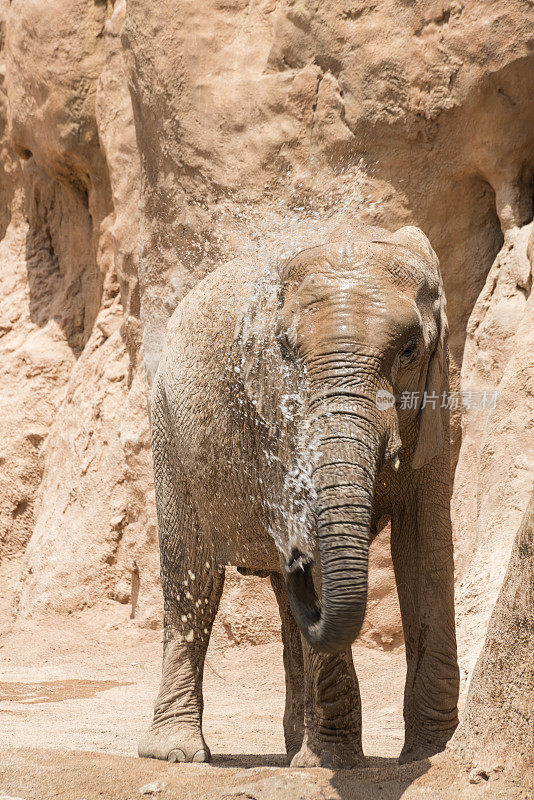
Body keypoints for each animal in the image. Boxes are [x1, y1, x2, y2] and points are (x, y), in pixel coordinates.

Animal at [140, 223, 462, 768]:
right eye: (287, 352)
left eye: (410, 351)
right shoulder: (274, 423)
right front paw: (331, 763)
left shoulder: (441, 405)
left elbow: (425, 549)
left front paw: (429, 755)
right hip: (169, 433)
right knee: (193, 579)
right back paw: (177, 753)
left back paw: (294, 744)